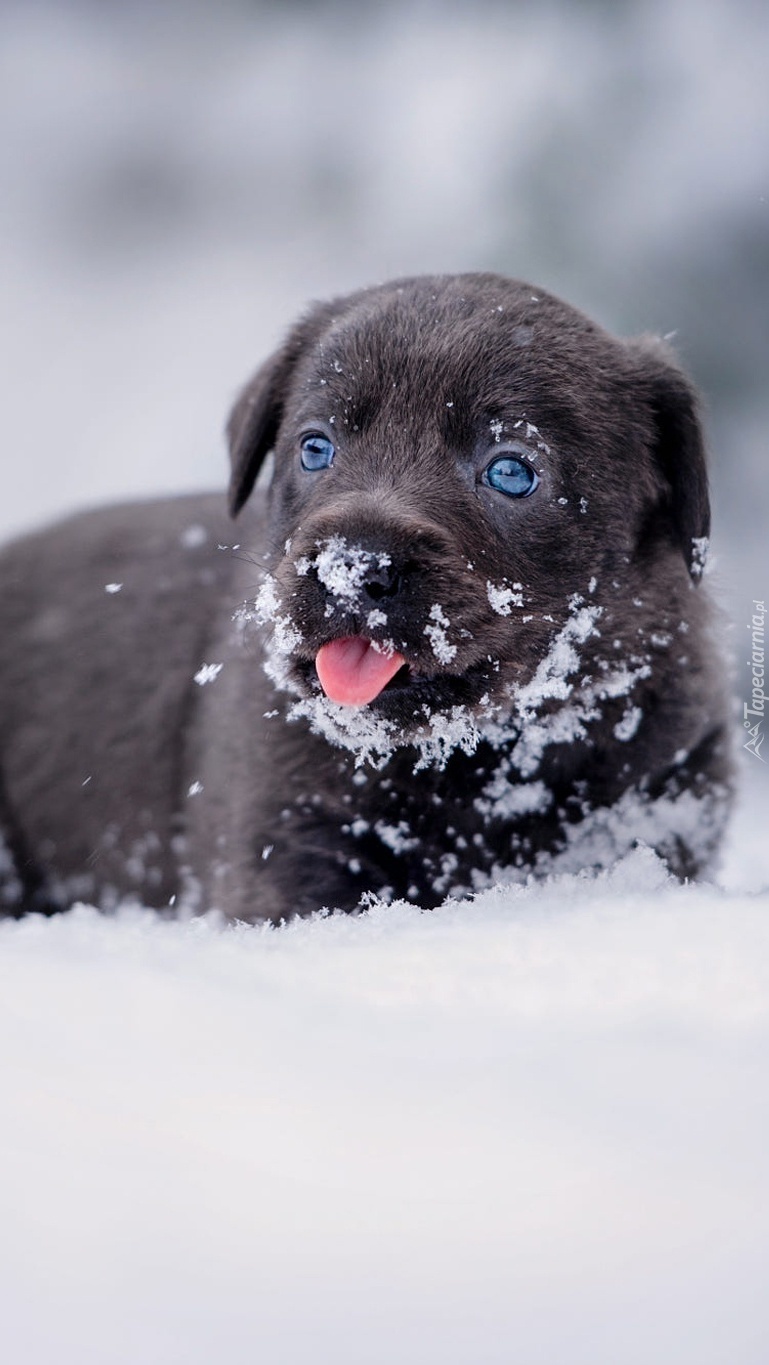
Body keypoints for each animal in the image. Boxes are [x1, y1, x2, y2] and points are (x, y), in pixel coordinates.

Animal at [0, 271, 732, 922]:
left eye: (510, 471)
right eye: (315, 447)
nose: (351, 565)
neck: (467, 766)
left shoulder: (662, 801)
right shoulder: (283, 844)